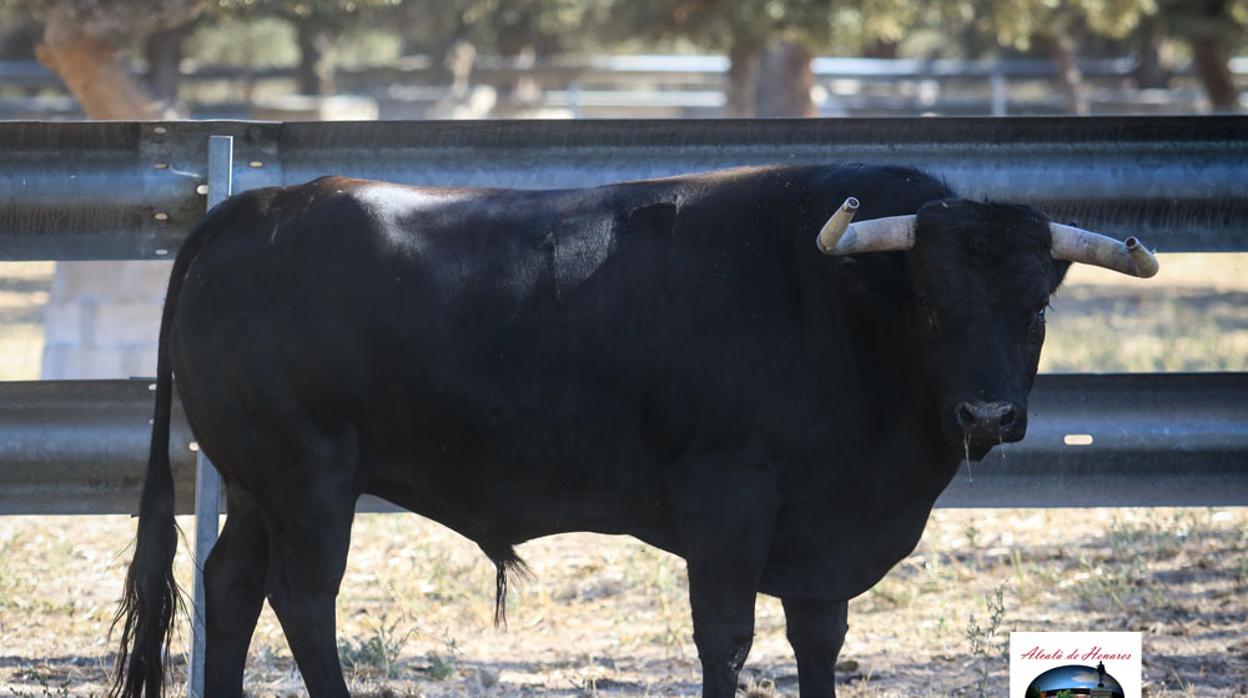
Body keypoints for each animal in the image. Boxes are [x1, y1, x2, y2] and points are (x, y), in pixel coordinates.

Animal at [114, 164, 1093, 698]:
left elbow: (819, 640)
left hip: (257, 484)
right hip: (308, 479)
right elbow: (725, 635)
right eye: (932, 304)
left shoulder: (823, 536)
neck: (837, 306)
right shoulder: (727, 499)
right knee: (302, 598)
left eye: (1038, 307)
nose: (987, 415)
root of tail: (256, 207)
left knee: (231, 587)